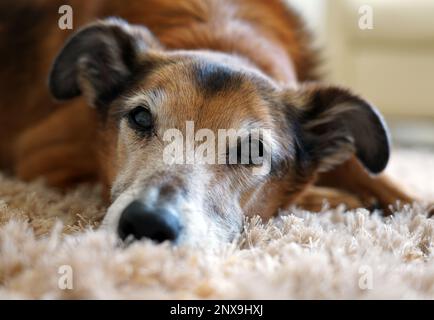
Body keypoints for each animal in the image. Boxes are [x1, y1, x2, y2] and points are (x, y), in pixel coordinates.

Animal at [0, 0, 426, 246]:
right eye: (141, 117)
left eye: (252, 149)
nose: (147, 225)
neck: (224, 39)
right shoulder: (44, 156)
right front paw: (342, 199)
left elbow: (368, 171)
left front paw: (414, 204)